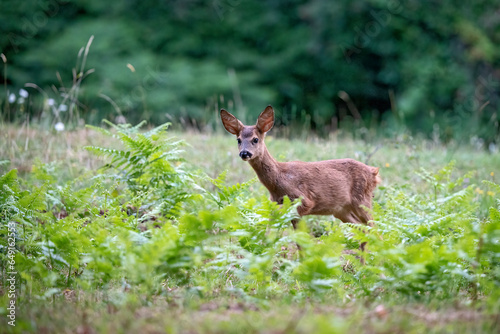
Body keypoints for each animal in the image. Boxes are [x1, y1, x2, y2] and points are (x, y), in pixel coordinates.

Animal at [221, 105, 380, 231]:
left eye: (255, 139)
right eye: (238, 140)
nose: (244, 153)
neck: (278, 180)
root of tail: (374, 172)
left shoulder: (303, 200)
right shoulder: (279, 203)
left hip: (361, 200)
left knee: (374, 228)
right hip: (341, 210)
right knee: (364, 229)